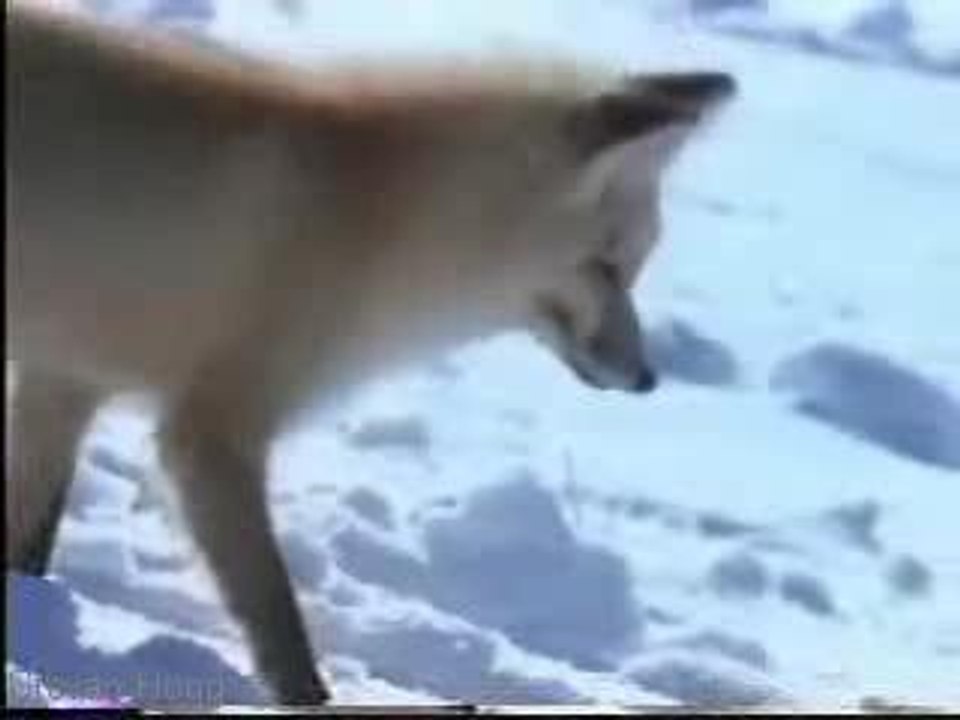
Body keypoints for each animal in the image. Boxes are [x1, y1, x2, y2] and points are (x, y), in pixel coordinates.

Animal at [6, 2, 737, 707]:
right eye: (608, 267)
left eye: (635, 268)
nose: (647, 378)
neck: (378, 223)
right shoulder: (211, 432)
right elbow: (276, 614)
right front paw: (309, 696)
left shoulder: (64, 379)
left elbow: (27, 534)